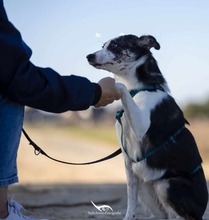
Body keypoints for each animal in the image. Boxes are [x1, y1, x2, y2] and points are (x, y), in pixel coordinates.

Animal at [86, 34, 207, 220]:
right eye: (103, 46)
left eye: (115, 46)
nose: (89, 56)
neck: (141, 89)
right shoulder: (129, 163)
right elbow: (130, 199)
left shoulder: (141, 125)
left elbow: (119, 85)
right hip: (145, 186)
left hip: (167, 184)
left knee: (178, 216)